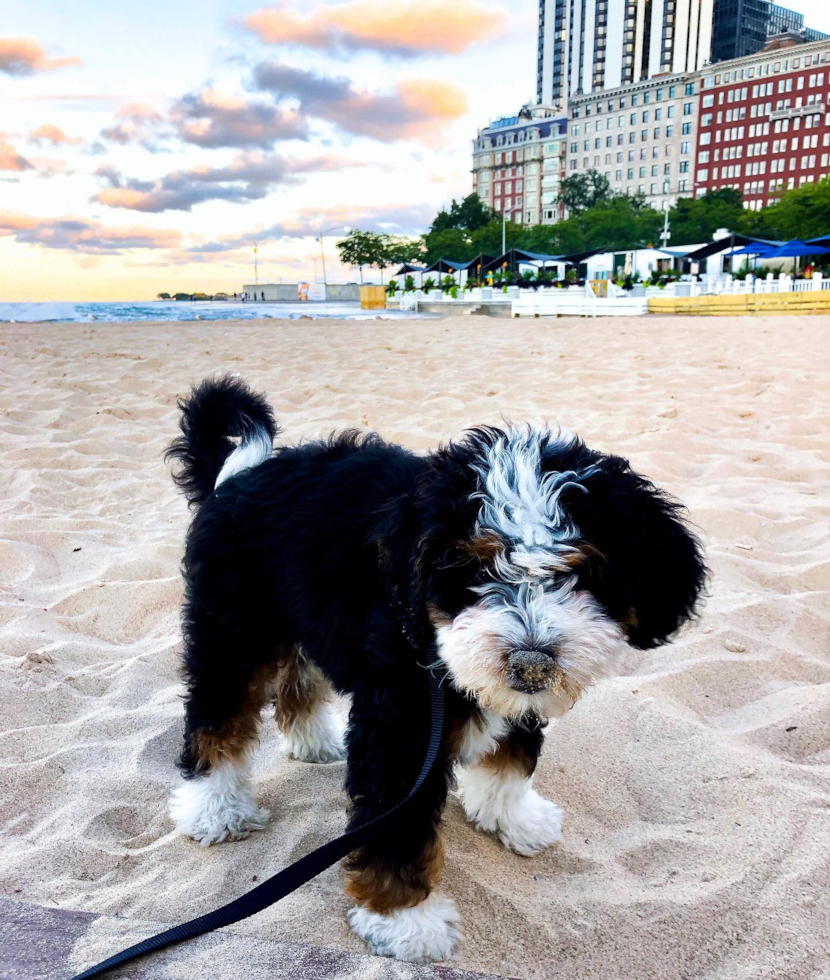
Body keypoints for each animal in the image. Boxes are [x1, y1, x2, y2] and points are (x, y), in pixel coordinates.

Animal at [164, 376, 708, 964]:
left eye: (582, 572)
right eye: (474, 568)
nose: (531, 662)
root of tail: (237, 473)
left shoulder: (513, 702)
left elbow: (512, 758)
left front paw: (512, 816)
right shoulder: (401, 730)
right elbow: (398, 830)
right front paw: (404, 919)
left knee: (299, 676)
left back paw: (313, 741)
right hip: (232, 631)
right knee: (216, 716)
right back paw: (214, 809)